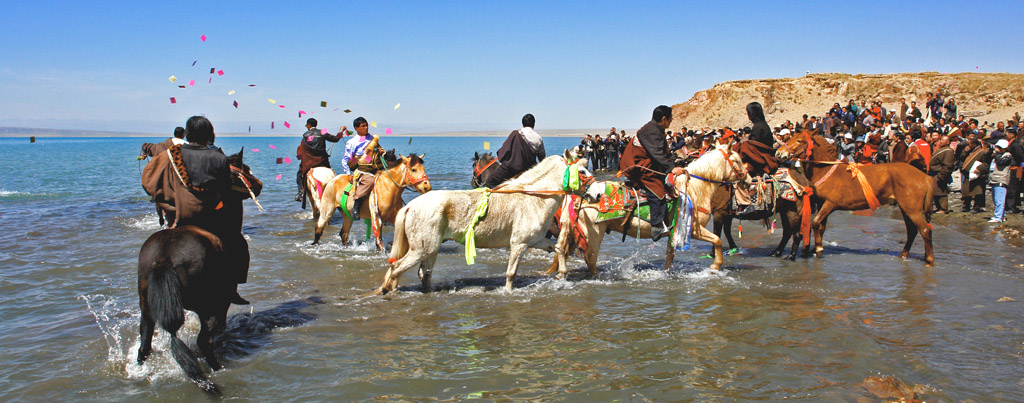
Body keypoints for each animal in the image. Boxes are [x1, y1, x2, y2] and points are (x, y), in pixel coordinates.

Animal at [135, 149, 262, 394]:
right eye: (245, 170)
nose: (259, 185)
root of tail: (162, 258)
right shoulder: (221, 302)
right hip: (209, 305)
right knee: (204, 341)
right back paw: (216, 367)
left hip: (147, 308)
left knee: (144, 344)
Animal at [376, 151, 589, 292]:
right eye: (583, 172)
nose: (594, 194)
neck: (534, 197)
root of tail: (410, 206)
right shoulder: (518, 244)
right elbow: (511, 273)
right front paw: (508, 292)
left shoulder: (535, 241)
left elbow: (559, 248)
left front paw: (562, 273)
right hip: (420, 250)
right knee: (396, 268)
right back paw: (387, 291)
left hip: (430, 249)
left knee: (424, 273)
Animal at [774, 130, 937, 265]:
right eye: (790, 138)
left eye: (799, 140)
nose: (778, 154)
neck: (826, 170)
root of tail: (925, 176)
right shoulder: (821, 204)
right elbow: (820, 227)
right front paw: (815, 248)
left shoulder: (830, 204)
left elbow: (815, 223)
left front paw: (819, 248)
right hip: (905, 209)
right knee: (912, 231)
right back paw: (903, 255)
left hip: (912, 210)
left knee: (925, 230)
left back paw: (929, 259)